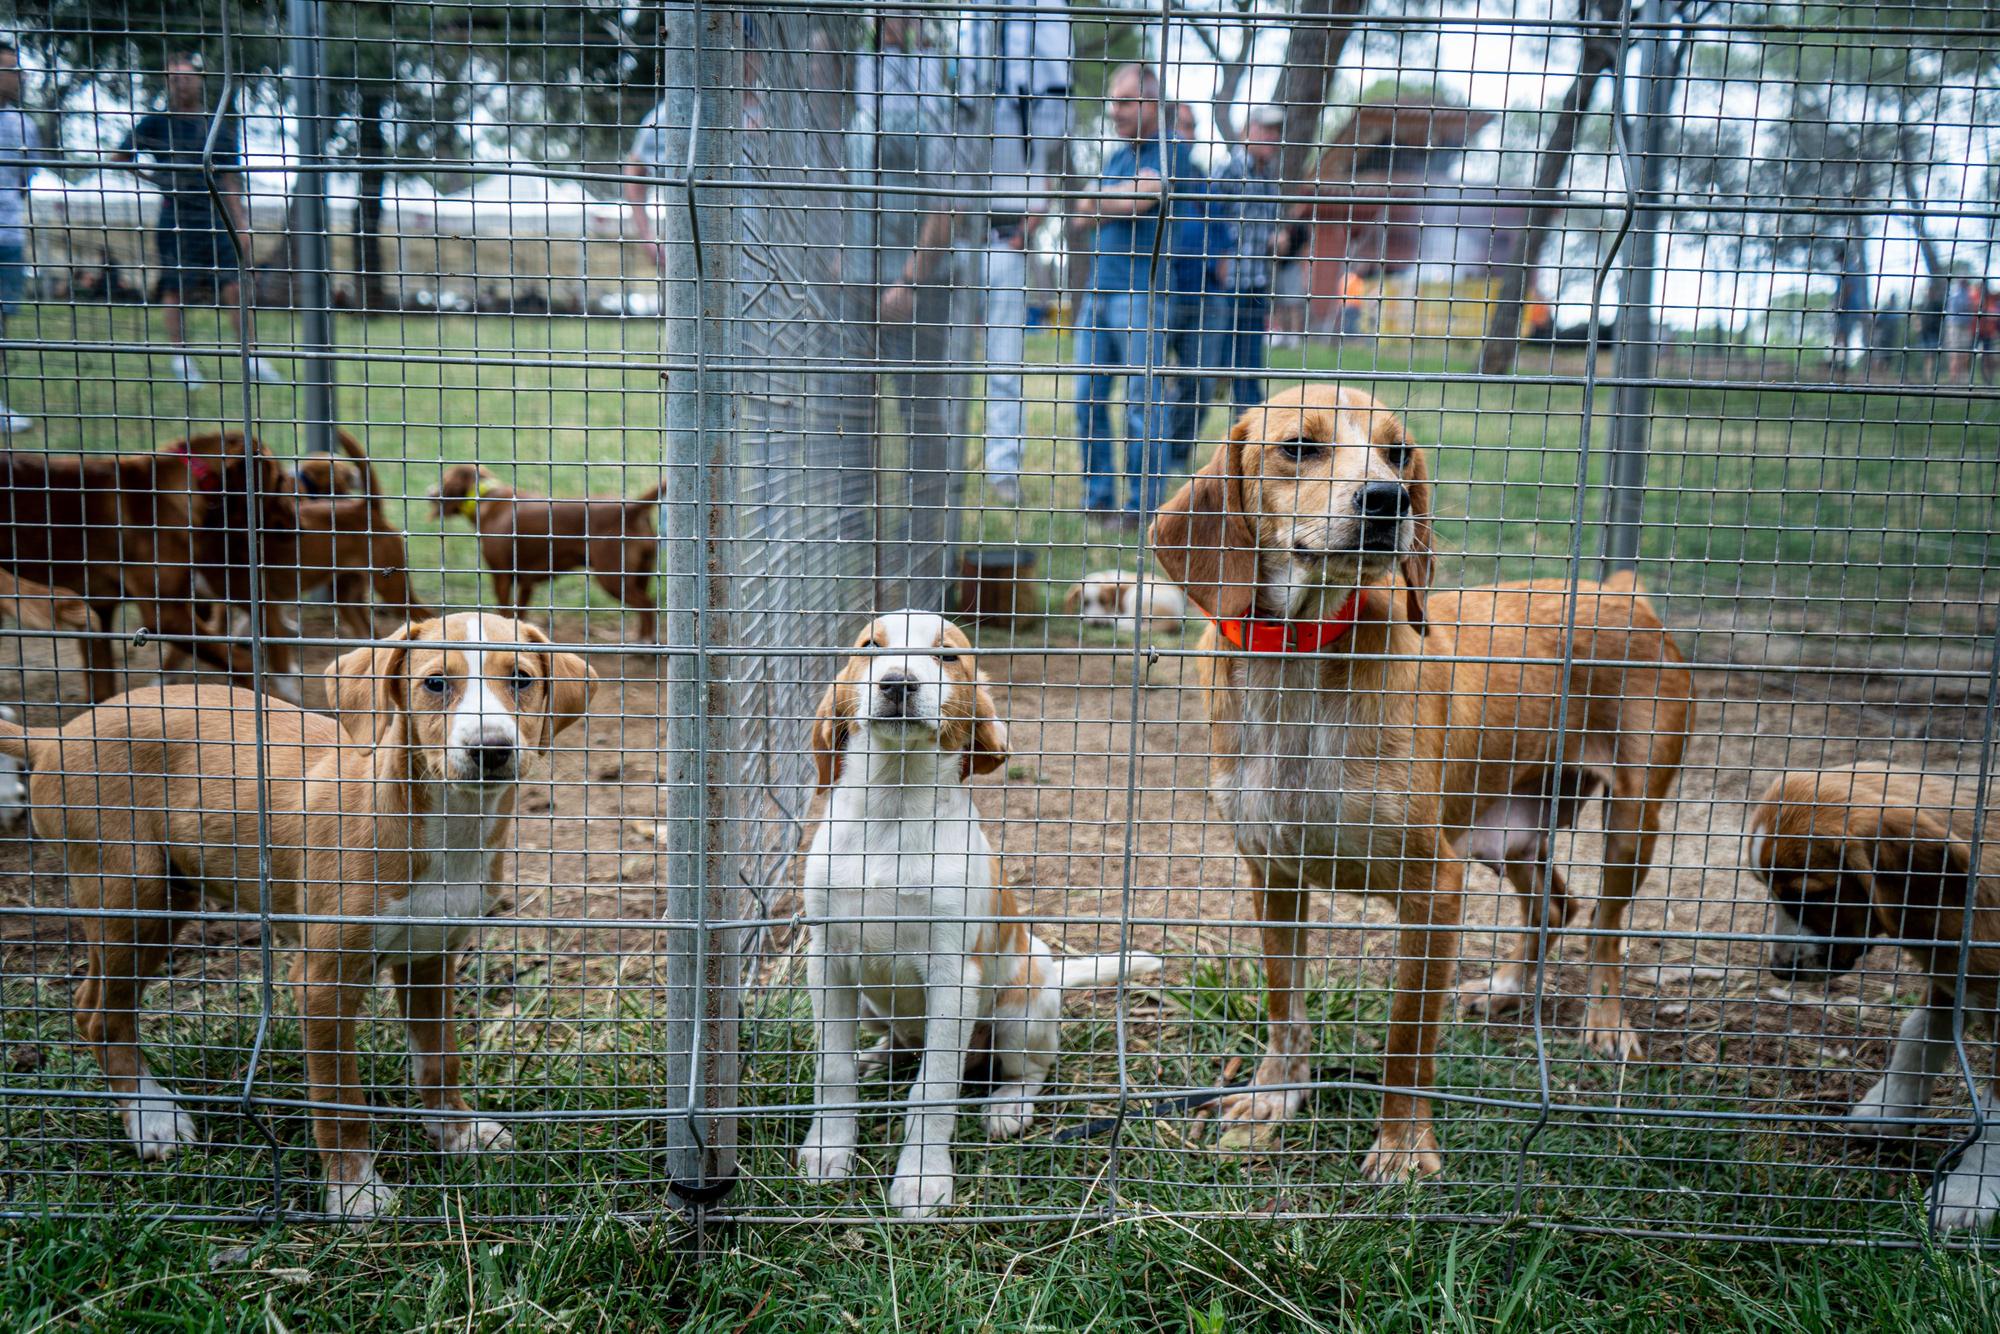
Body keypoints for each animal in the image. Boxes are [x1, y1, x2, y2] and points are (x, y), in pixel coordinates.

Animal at [0, 616, 596, 1224]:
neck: (444, 828)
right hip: (132, 895)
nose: (491, 750)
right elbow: (340, 1100)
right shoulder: (322, 982)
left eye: (521, 680)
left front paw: (457, 1133)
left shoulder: (430, 958)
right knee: (99, 1012)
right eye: (435, 684)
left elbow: (439, 1058)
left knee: (93, 1005)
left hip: (167, 896)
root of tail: (56, 734)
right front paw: (354, 1192)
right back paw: (154, 1118)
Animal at [430, 464, 664, 640]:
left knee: (648, 605)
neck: (489, 498)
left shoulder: (501, 576)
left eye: (443, 479)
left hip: (612, 578)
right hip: (642, 572)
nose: (428, 492)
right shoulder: (526, 582)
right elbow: (519, 614)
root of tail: (631, 508)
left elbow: (504, 611)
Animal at [796, 612, 1168, 1216]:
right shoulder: (826, 961)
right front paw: (828, 1151)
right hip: (873, 1007)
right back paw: (880, 1055)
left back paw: (1007, 1107)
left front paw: (921, 1178)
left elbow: (932, 1092)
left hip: (1022, 1012)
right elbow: (833, 1071)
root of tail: (1053, 972)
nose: (897, 684)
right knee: (898, 1042)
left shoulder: (954, 977)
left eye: (947, 656)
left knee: (1033, 1070)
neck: (891, 813)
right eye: (870, 648)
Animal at [1152, 384, 1696, 1176]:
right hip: (1507, 833)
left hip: (1630, 822)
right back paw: (1506, 991)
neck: (1303, 660)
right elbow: (1286, 1008)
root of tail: (1621, 590)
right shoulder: (1273, 873)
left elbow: (1407, 1041)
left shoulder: (1432, 886)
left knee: (1604, 926)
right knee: (1555, 906)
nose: (1388, 499)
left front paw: (1404, 1149)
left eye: (1398, 452)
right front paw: (1275, 1097)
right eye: (1298, 446)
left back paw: (1605, 1023)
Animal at [1752, 768, 2000, 1240]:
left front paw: (1968, 1195)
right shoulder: (1949, 976)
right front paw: (1891, 1104)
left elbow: (1994, 1118)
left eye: (1810, 896)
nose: (1779, 970)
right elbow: (1918, 1033)